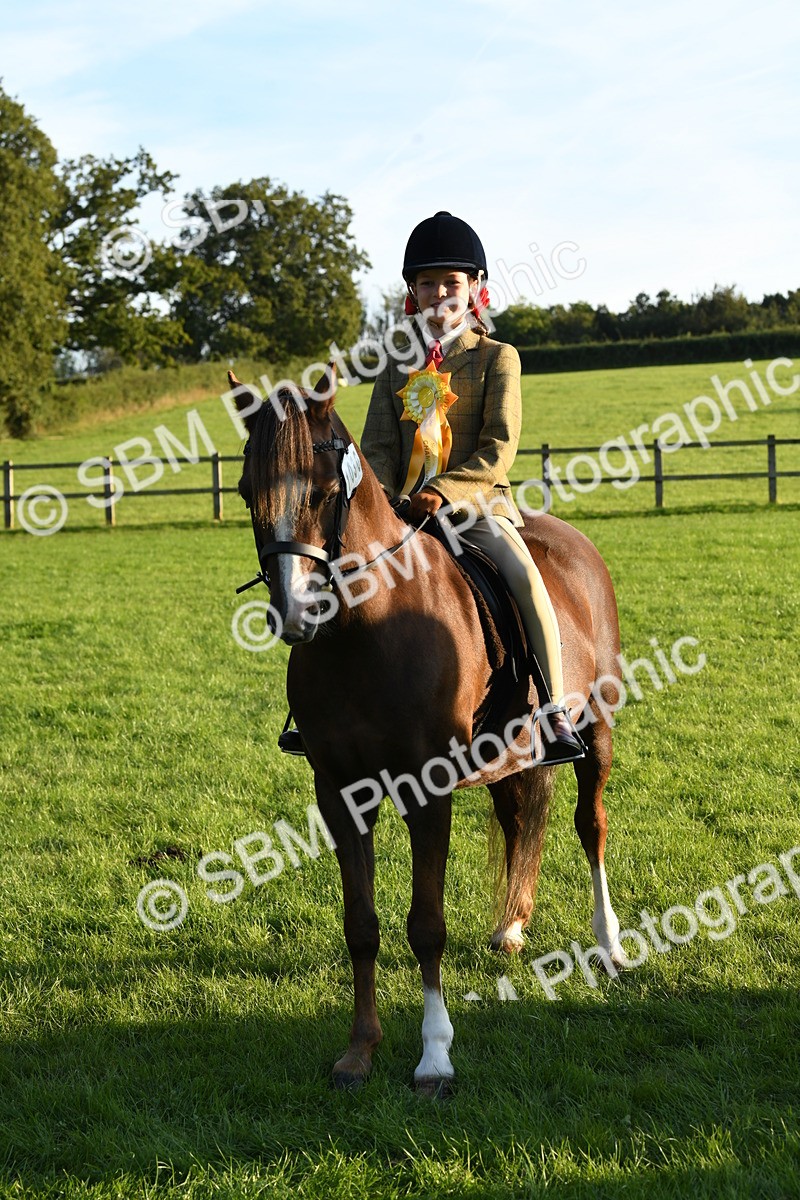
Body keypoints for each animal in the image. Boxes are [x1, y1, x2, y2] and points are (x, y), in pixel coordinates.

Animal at [231, 365, 626, 1095]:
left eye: (323, 491)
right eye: (247, 491)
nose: (295, 612)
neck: (366, 630)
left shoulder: (426, 790)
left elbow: (426, 925)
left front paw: (435, 1057)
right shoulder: (340, 793)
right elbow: (361, 925)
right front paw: (359, 1051)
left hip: (598, 728)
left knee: (592, 826)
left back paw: (610, 944)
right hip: (509, 756)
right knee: (518, 816)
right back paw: (511, 928)